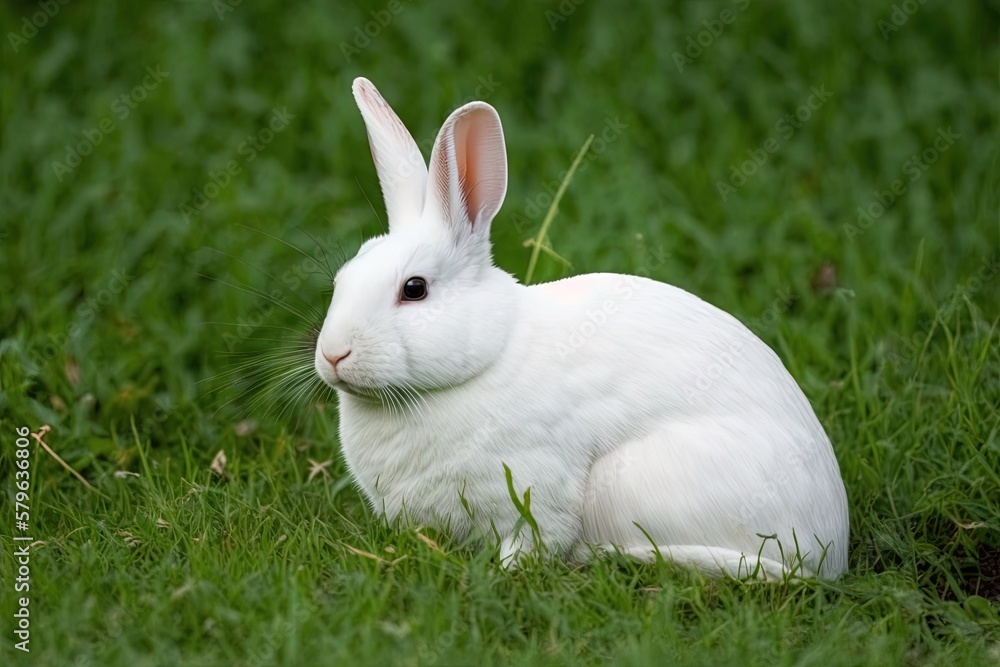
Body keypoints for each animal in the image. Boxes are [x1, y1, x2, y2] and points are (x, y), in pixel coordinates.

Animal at [316, 77, 848, 580]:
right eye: (342, 279)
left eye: (415, 288)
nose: (334, 355)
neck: (485, 360)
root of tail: (830, 548)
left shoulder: (538, 490)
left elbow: (533, 540)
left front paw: (505, 573)